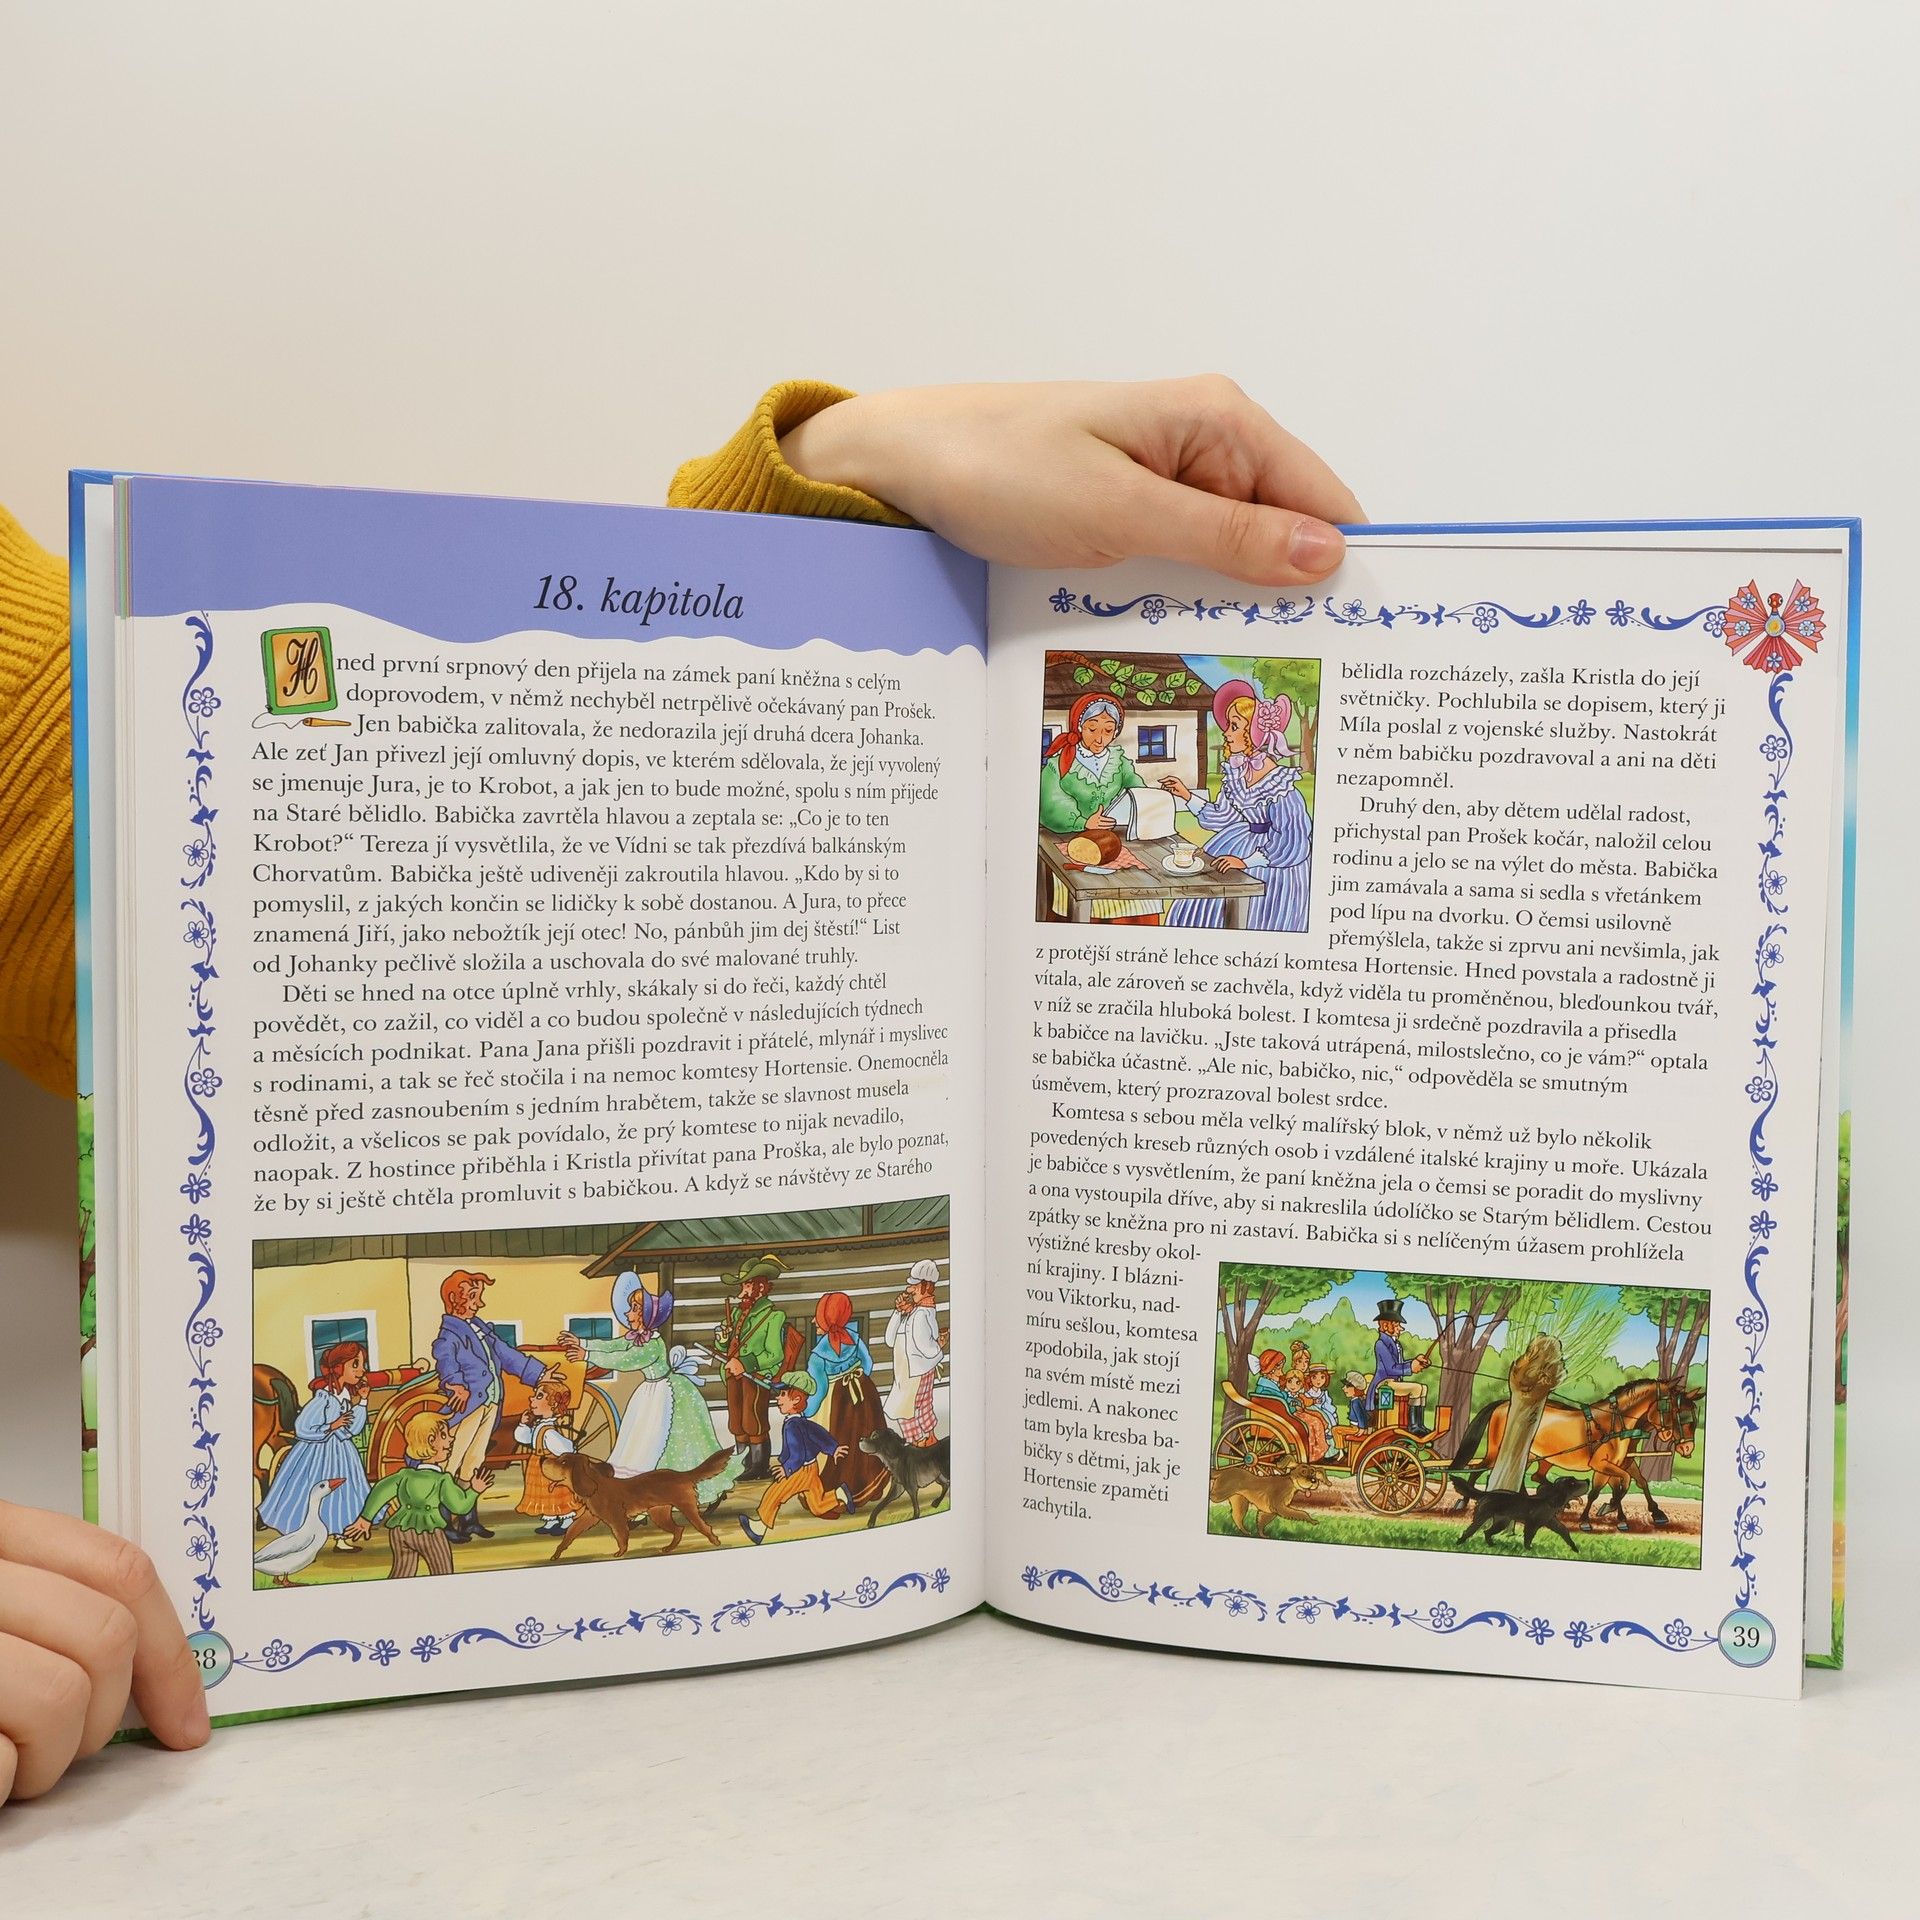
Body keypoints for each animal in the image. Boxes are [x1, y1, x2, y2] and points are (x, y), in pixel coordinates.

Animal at [543, 1446, 735, 1560]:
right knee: (679, 1529)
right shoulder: (588, 1517)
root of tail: (683, 1475)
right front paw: (557, 1553)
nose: (542, 1460)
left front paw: (621, 1552)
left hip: (687, 1508)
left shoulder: (616, 1519)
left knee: (704, 1526)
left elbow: (621, 1536)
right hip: (660, 1514)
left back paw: (715, 1542)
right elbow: (570, 1533)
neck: (595, 1485)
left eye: (563, 1461)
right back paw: (669, 1548)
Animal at [1449, 1378, 1701, 1532]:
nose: (1687, 1448)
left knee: (1527, 1476)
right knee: (1478, 1468)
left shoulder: (1622, 1462)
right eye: (1676, 1411)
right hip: (1501, 1452)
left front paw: (1647, 1514)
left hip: (1531, 1456)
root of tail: (1505, 1403)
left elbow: (1635, 1482)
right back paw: (1465, 1502)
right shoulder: (1602, 1464)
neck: (1617, 1423)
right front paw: (1593, 1517)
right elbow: (1608, 1488)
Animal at [1449, 1471, 1583, 1554]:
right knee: (1469, 1531)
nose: (1587, 1480)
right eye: (1572, 1483)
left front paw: (1575, 1549)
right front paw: (1528, 1550)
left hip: (1501, 1522)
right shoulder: (1531, 1524)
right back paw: (1459, 1543)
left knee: (1487, 1532)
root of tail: (1486, 1493)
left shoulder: (1552, 1522)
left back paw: (1492, 1545)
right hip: (1482, 1517)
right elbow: (1528, 1537)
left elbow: (1564, 1531)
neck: (1549, 1500)